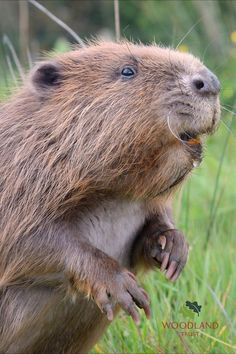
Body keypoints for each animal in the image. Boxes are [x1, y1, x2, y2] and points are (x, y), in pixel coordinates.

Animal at [0, 40, 219, 352]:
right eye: (127, 71)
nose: (210, 82)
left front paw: (174, 248)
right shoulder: (20, 184)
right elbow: (28, 244)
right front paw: (125, 289)